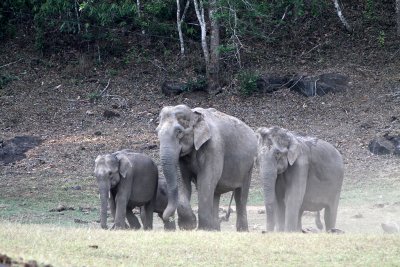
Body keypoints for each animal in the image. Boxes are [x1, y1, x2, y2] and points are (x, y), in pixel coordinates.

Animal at [156, 103, 256, 231]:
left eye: (179, 131)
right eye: (157, 131)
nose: (165, 216)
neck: (194, 114)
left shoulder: (214, 147)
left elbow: (205, 180)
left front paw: (200, 229)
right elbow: (183, 181)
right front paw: (188, 226)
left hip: (249, 166)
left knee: (241, 195)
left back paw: (241, 231)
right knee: (215, 194)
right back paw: (215, 230)